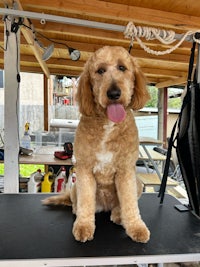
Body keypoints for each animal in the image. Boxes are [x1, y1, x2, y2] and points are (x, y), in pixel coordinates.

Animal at [43, 45, 150, 243]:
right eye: (100, 71)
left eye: (122, 67)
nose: (114, 93)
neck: (108, 124)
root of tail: (105, 205)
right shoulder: (84, 169)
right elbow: (86, 201)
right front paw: (84, 225)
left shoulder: (126, 171)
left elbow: (130, 203)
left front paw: (136, 227)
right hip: (75, 187)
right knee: (79, 202)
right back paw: (78, 211)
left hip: (137, 183)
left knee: (121, 205)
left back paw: (118, 214)